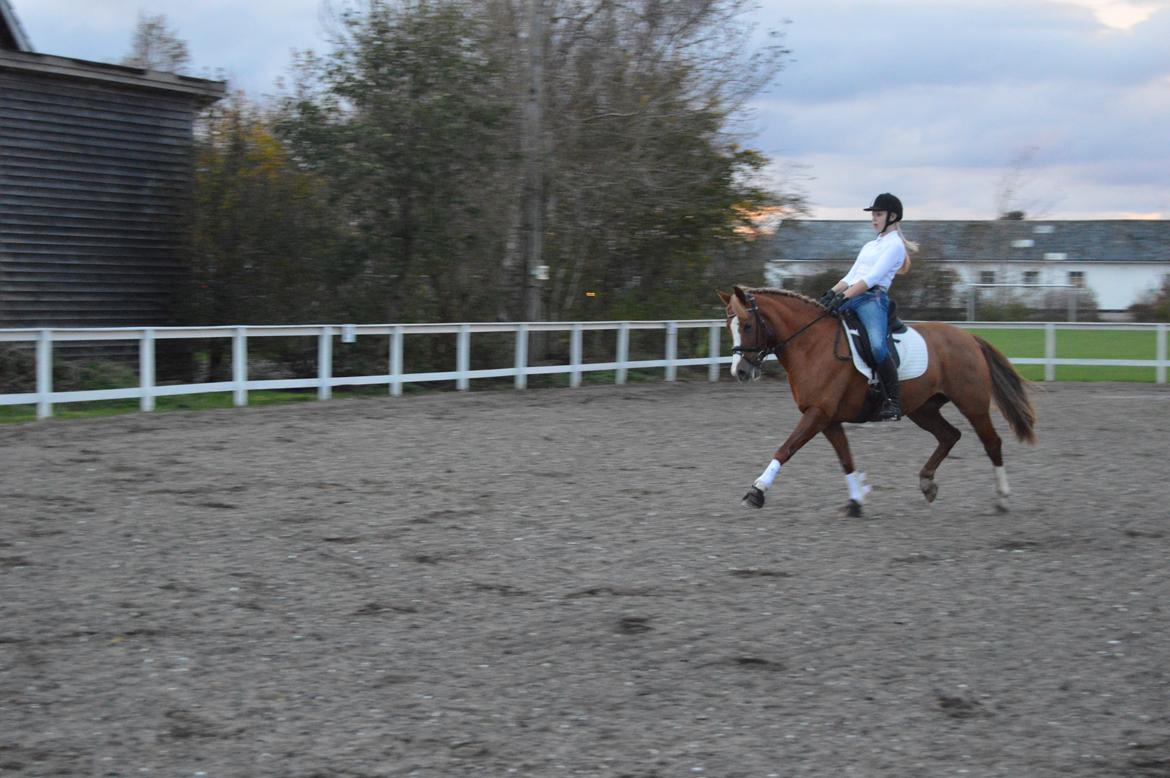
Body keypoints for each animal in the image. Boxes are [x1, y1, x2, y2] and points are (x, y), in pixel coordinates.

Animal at [711, 285, 1034, 514]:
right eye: (728, 327)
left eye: (747, 325)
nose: (740, 371)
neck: (811, 344)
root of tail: (969, 338)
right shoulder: (827, 418)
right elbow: (846, 459)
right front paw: (856, 500)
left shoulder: (817, 413)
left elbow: (785, 449)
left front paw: (757, 491)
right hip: (923, 409)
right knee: (949, 435)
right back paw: (927, 483)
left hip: (972, 404)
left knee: (991, 443)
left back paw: (1002, 498)